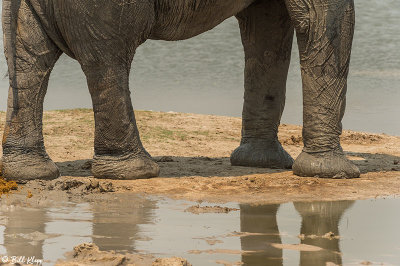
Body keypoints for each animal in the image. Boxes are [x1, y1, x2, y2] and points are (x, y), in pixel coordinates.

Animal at [0, 0, 360, 181]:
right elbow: (319, 18)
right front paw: (335, 174)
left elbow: (268, 23)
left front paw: (261, 163)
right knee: (108, 57)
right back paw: (135, 173)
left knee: (29, 59)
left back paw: (29, 173)